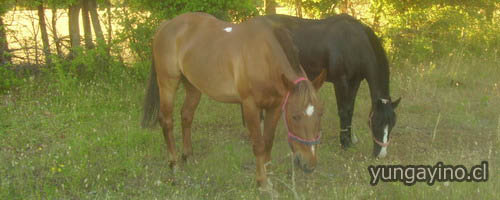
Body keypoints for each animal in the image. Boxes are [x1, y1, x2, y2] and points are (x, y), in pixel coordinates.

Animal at [142, 12, 328, 189]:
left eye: (320, 114)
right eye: (295, 116)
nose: (309, 164)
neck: (265, 56)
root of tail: (167, 25)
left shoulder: (275, 106)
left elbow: (268, 141)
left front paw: (270, 175)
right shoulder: (250, 106)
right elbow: (259, 145)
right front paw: (262, 182)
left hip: (193, 86)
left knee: (186, 116)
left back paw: (187, 157)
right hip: (168, 83)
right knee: (167, 121)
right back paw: (174, 165)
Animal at [264, 13, 400, 158]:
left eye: (392, 123)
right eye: (376, 122)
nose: (381, 154)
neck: (355, 43)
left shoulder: (355, 81)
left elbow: (350, 110)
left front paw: (350, 141)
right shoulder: (340, 81)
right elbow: (343, 111)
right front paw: (344, 143)